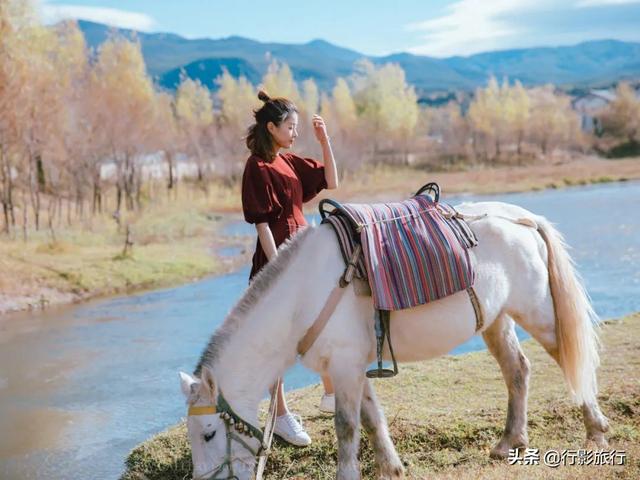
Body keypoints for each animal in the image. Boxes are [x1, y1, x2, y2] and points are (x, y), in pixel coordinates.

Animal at [178, 201, 608, 478]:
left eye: (209, 433)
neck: (302, 295)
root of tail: (523, 218)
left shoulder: (345, 366)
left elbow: (347, 426)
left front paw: (349, 474)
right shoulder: (352, 367)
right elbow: (371, 419)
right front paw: (391, 466)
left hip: (538, 313)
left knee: (569, 359)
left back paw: (596, 431)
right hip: (496, 320)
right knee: (517, 370)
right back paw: (510, 443)